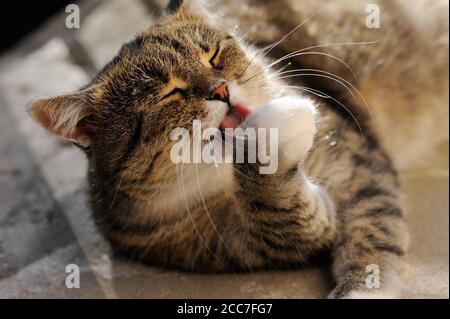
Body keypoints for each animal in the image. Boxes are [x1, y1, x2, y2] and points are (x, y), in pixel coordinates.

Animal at [27, 0, 446, 300]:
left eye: (213, 54)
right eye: (167, 93)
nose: (221, 89)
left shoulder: (355, 165)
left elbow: (372, 226)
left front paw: (361, 289)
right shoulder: (252, 241)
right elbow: (281, 211)